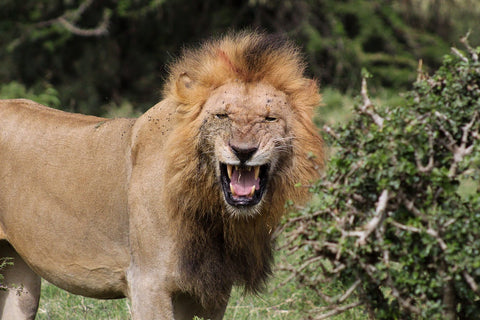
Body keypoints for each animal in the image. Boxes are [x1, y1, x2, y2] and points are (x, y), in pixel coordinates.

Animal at [0, 32, 324, 320]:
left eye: (270, 118)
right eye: (222, 115)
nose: (243, 151)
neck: (212, 208)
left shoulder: (213, 289)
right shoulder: (148, 283)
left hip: (20, 280)